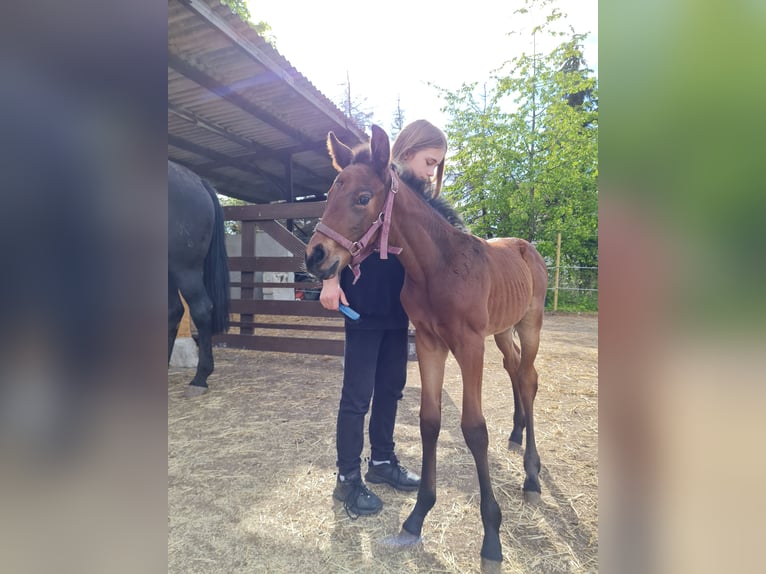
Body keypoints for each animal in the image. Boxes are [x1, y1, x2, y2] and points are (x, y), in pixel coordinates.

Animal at [304, 126, 548, 564]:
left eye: (363, 198)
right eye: (331, 193)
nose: (315, 256)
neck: (439, 266)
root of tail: (526, 246)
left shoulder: (469, 345)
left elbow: (474, 429)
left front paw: (491, 535)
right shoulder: (432, 343)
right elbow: (429, 421)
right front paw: (418, 515)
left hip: (530, 323)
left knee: (529, 377)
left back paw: (532, 475)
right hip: (503, 329)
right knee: (516, 370)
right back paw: (517, 433)